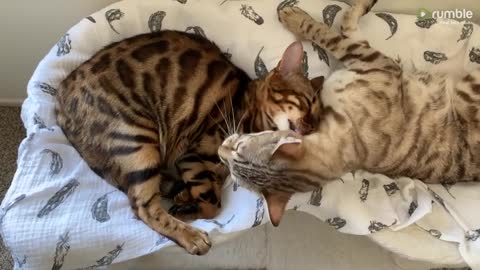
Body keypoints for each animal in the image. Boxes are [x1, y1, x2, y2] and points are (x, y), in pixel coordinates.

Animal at [55, 30, 322, 254]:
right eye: (308, 103)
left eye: (319, 119)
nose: (311, 128)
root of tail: (60, 100)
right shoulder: (192, 154)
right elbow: (212, 201)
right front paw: (190, 209)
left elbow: (211, 190)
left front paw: (185, 198)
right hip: (137, 139)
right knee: (143, 206)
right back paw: (192, 236)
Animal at [217, 0, 480, 227]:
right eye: (232, 173)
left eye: (240, 145)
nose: (221, 149)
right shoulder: (369, 59)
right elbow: (341, 28)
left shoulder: (371, 60)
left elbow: (337, 29)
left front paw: (296, 17)